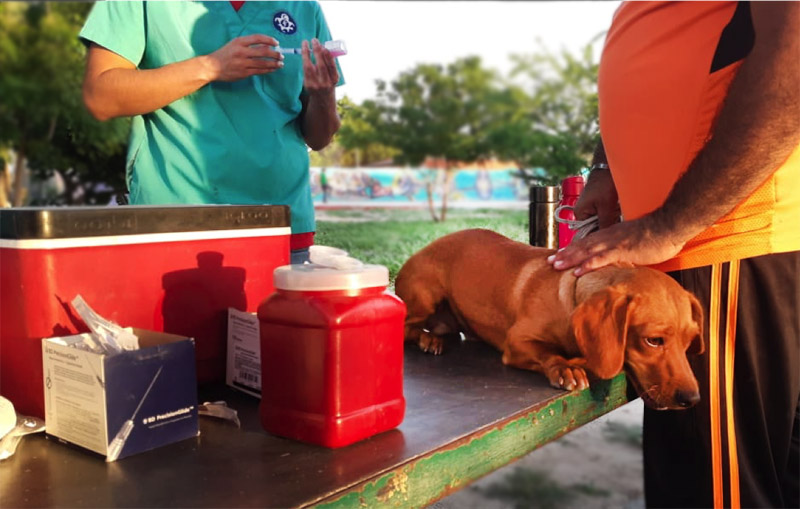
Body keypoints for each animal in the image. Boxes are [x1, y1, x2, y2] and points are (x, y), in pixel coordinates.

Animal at [395, 229, 704, 410]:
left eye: (689, 341)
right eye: (653, 340)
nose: (692, 399)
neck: (572, 296)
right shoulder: (517, 343)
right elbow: (548, 354)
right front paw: (565, 368)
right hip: (425, 296)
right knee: (407, 328)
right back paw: (428, 339)